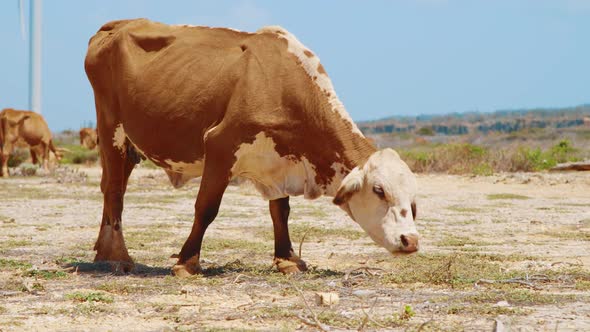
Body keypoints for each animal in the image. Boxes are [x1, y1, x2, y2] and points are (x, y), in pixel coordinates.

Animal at [84, 19, 420, 276]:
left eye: (413, 200)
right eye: (379, 190)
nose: (411, 240)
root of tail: (116, 25)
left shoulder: (281, 159)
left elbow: (280, 211)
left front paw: (287, 259)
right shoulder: (221, 146)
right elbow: (206, 208)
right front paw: (187, 263)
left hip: (129, 146)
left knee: (111, 189)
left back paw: (103, 252)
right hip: (111, 129)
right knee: (114, 190)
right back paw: (118, 257)